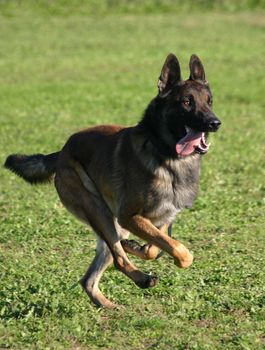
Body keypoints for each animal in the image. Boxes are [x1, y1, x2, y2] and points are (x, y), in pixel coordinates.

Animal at [4, 53, 221, 308]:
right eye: (187, 102)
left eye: (209, 102)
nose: (215, 123)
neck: (166, 156)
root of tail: (62, 151)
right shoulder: (129, 216)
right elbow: (180, 250)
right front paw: (167, 256)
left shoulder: (163, 217)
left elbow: (157, 247)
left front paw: (138, 246)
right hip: (100, 212)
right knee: (118, 260)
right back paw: (142, 279)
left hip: (111, 223)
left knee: (90, 277)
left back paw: (107, 303)